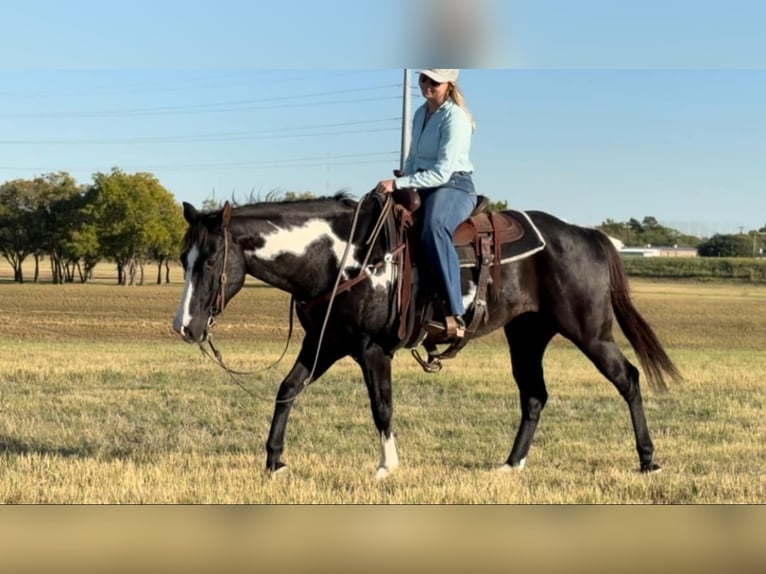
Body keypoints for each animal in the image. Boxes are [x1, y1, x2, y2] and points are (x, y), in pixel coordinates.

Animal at [172, 192, 681, 478]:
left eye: (212, 258)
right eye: (182, 259)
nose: (185, 327)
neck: (342, 257)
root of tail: (586, 234)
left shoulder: (372, 350)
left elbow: (382, 406)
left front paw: (386, 466)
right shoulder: (325, 344)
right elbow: (287, 389)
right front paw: (275, 462)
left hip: (590, 332)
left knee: (629, 379)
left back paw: (648, 460)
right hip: (526, 336)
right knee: (534, 396)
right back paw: (510, 465)